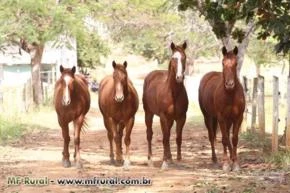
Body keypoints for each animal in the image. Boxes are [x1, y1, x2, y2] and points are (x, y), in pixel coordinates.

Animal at [142, 41, 188, 169]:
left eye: (184, 58)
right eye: (173, 58)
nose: (179, 77)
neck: (173, 93)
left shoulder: (181, 117)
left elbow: (178, 137)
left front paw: (178, 160)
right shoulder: (163, 117)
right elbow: (165, 138)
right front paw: (164, 162)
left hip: (171, 119)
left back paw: (170, 158)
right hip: (148, 113)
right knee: (149, 134)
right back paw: (150, 160)